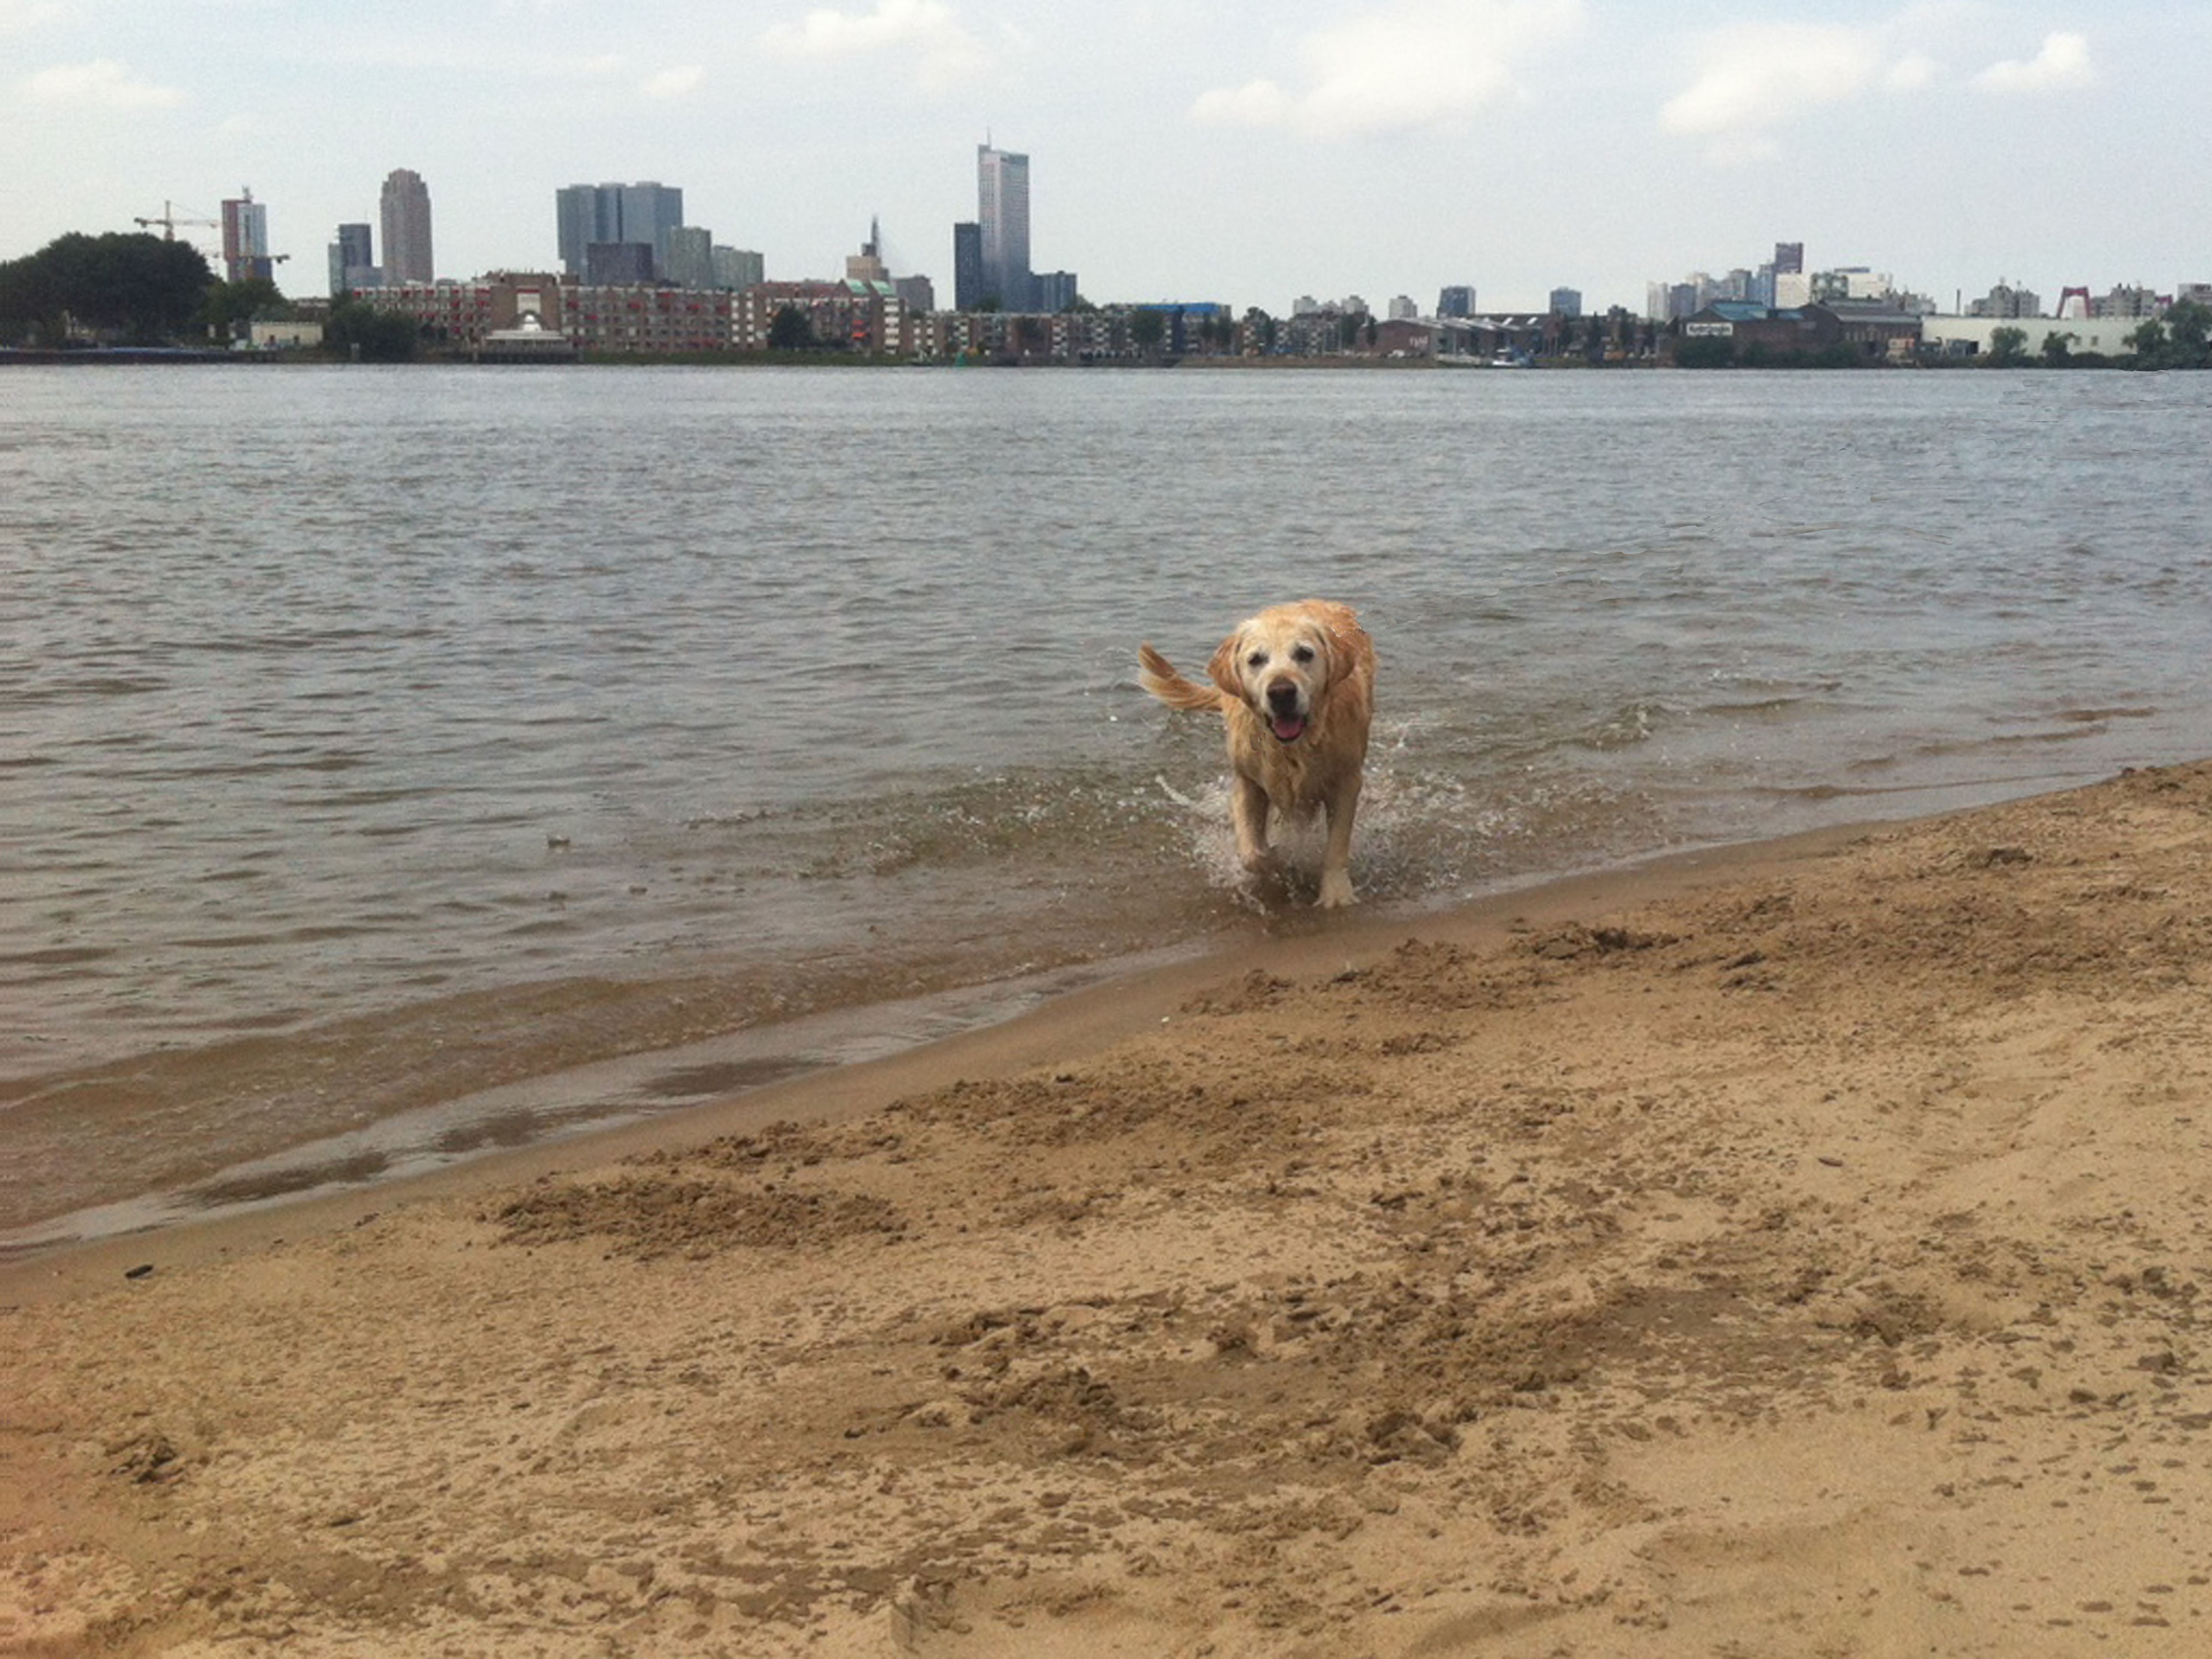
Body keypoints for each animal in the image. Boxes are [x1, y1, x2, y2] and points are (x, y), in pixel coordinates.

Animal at [1138, 600, 1375, 908]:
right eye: (1256, 660)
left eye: (1304, 654)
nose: (1282, 692)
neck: (1291, 749)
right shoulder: (1248, 782)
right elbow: (1252, 853)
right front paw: (1275, 862)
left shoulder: (1346, 780)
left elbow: (1337, 844)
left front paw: (1336, 894)